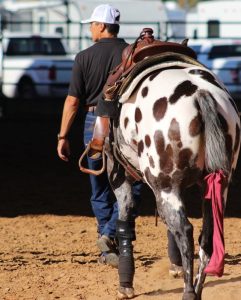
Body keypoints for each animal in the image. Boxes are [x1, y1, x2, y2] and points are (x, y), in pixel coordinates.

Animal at [104, 49, 241, 300]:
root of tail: (202, 94)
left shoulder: (117, 170)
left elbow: (125, 217)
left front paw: (125, 283)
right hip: (217, 186)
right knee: (206, 238)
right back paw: (196, 289)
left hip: (165, 185)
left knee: (185, 231)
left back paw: (188, 292)